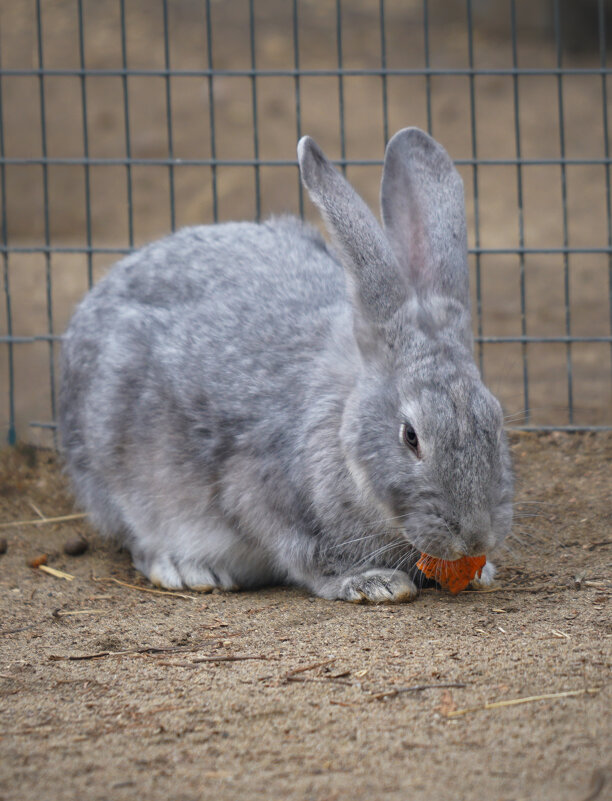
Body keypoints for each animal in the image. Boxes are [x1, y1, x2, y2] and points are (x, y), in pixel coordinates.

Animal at [59, 126, 512, 600]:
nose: (475, 538)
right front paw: (375, 583)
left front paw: (480, 571)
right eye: (410, 436)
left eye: (495, 421)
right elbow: (309, 558)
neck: (341, 431)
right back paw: (188, 570)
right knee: (138, 540)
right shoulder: (262, 497)